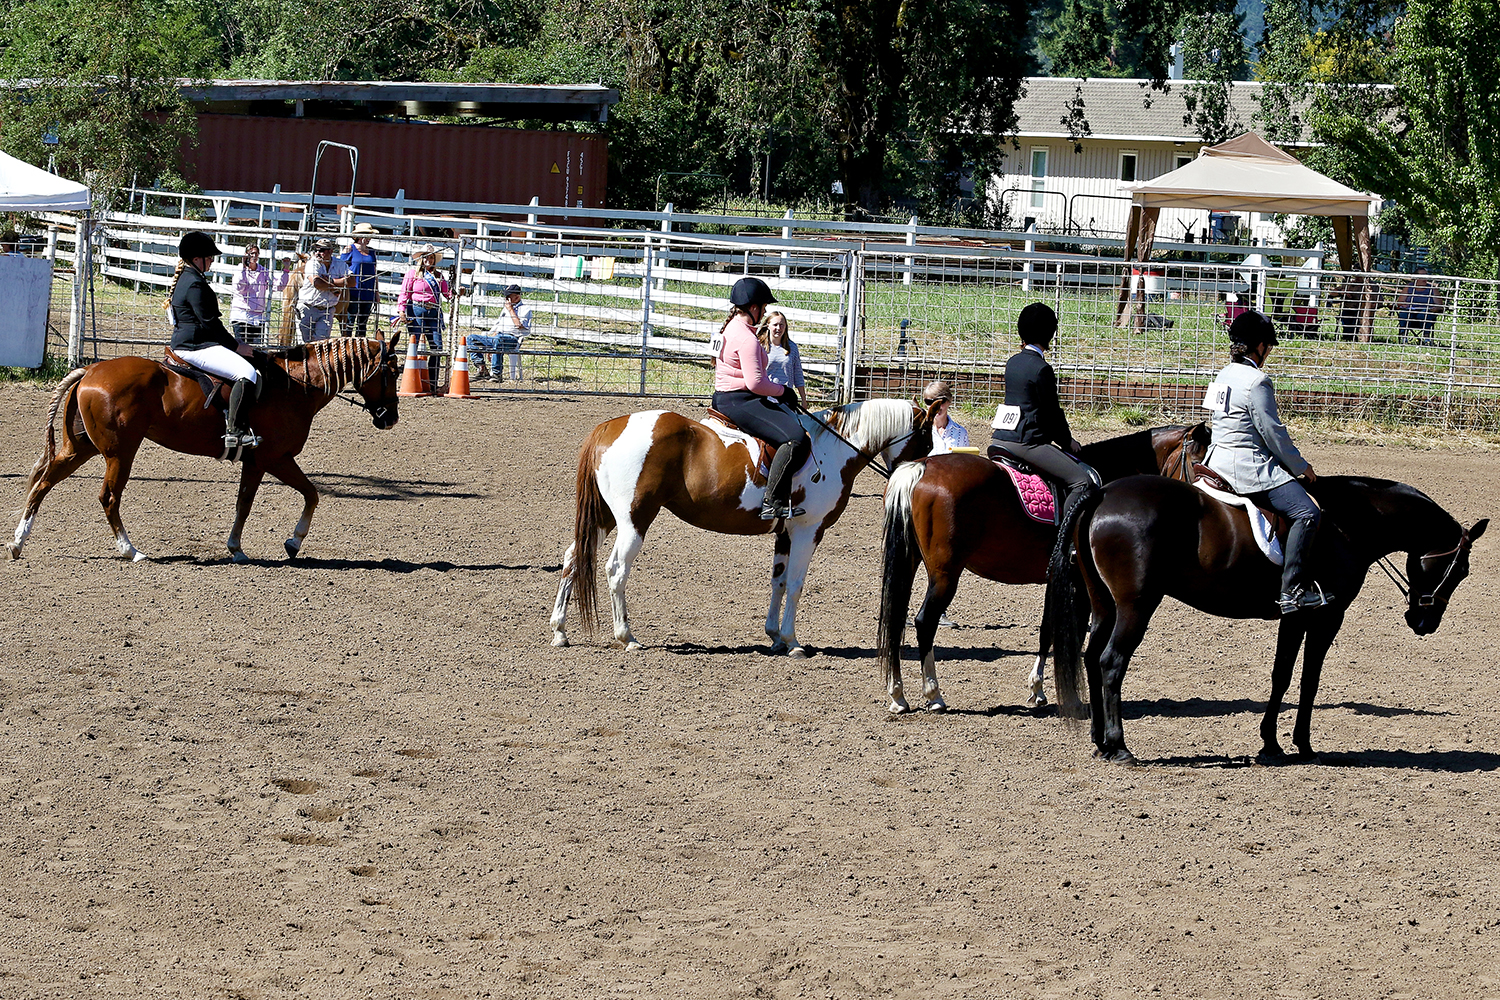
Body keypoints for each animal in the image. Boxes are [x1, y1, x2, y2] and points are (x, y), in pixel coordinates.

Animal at [7, 338, 405, 563]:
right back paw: (131, 551)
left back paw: (18, 543)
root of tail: (90, 371)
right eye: (391, 372)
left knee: (43, 483)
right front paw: (291, 542)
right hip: (120, 452)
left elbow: (247, 502)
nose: (390, 419)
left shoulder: (258, 462)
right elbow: (310, 494)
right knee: (108, 497)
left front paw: (237, 548)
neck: (295, 387)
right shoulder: (274, 459)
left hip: (82, 447)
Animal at [549, 398, 936, 656]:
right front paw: (793, 641)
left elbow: (779, 582)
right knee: (616, 569)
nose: (917, 474)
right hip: (634, 519)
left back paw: (559, 630)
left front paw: (775, 636)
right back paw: (626, 636)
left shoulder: (785, 533)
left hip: (604, 517)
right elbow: (796, 584)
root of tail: (611, 425)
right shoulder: (808, 531)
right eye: (927, 439)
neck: (832, 450)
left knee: (573, 558)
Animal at [876, 422, 1212, 710]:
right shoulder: (1079, 583)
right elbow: (1068, 633)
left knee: (895, 618)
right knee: (924, 622)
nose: (1208, 504)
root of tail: (921, 467)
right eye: (1198, 461)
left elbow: (1047, 630)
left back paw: (898, 695)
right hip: (945, 573)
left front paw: (1037, 689)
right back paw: (933, 694)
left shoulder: (1059, 579)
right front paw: (1070, 696)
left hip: (910, 561)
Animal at [1050, 476, 1482, 767]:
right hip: (1136, 606)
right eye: (1461, 569)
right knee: (1111, 662)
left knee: (1091, 658)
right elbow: (1308, 679)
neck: (1349, 522)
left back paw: (1100, 742)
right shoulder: (1327, 616)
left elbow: (1282, 675)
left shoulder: (1295, 616)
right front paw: (1303, 745)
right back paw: (1120, 746)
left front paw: (1271, 744)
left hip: (1103, 605)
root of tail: (1104, 493)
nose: (1425, 622)